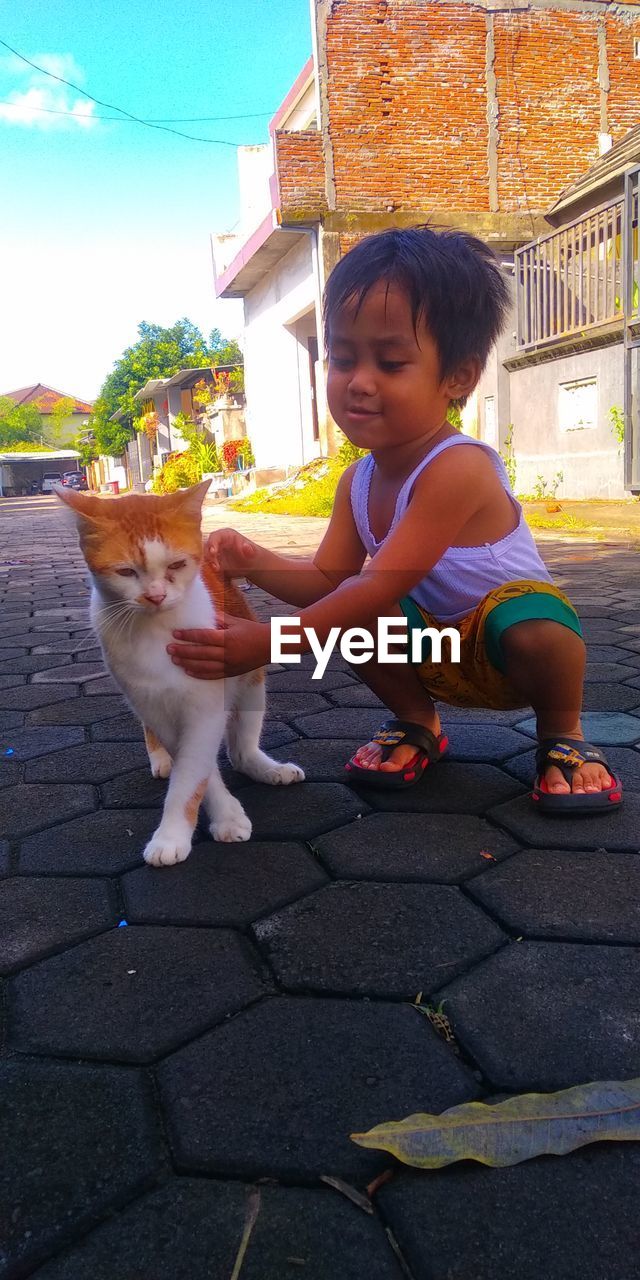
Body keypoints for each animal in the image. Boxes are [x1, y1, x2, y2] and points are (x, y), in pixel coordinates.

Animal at [56, 481, 303, 870]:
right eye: (126, 572)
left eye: (176, 564)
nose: (155, 596)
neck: (158, 631)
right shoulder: (153, 701)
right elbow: (196, 768)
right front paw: (219, 816)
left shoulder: (205, 703)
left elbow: (193, 770)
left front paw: (179, 832)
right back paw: (160, 758)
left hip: (249, 676)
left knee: (241, 750)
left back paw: (266, 768)